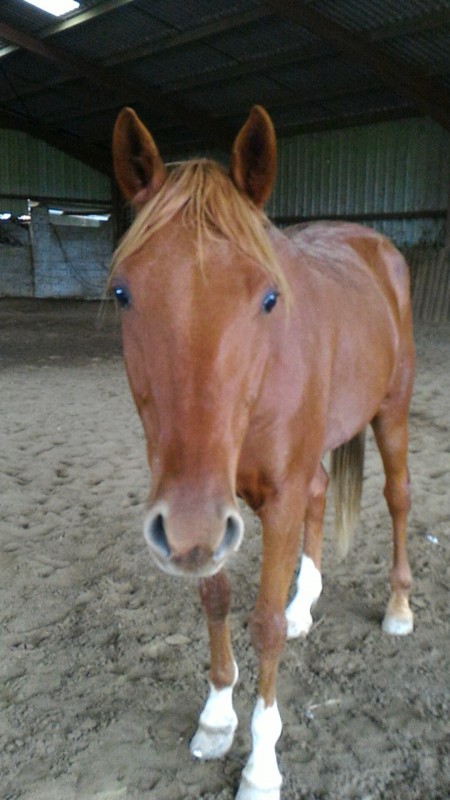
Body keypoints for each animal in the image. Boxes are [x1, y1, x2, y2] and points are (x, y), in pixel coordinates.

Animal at [110, 106, 414, 800]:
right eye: (122, 294)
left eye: (269, 297)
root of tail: (374, 243)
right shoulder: (201, 513)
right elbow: (216, 600)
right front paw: (217, 720)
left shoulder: (267, 502)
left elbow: (264, 625)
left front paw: (262, 765)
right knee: (323, 493)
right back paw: (307, 604)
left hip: (393, 411)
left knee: (398, 498)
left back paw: (398, 608)